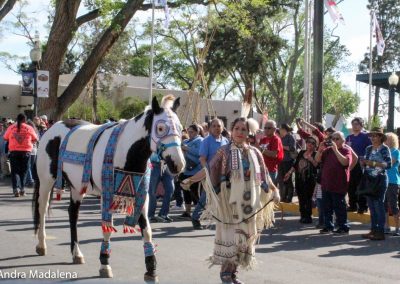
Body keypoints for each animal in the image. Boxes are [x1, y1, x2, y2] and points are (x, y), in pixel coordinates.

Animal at [32, 96, 186, 282]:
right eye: (161, 128)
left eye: (180, 128)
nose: (178, 164)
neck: (126, 151)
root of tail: (52, 128)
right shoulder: (107, 196)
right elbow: (107, 228)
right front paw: (104, 264)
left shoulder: (142, 195)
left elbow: (147, 231)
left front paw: (151, 268)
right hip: (46, 181)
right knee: (41, 209)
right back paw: (41, 244)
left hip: (77, 186)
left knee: (73, 214)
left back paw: (76, 253)